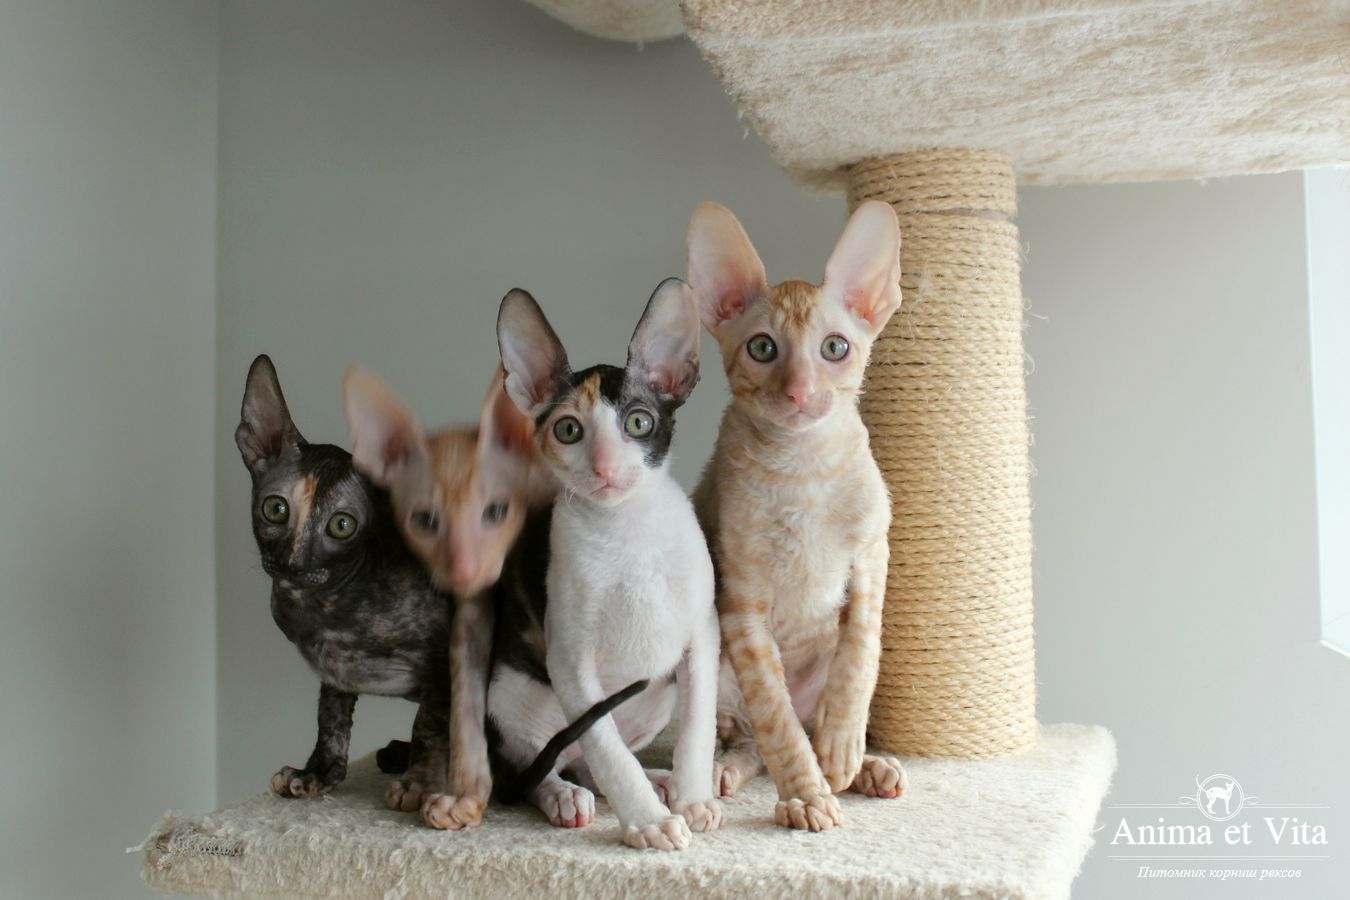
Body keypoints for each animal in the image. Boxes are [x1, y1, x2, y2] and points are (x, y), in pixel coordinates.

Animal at [235, 353, 451, 811]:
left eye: (341, 525)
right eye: (275, 509)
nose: (293, 563)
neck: (328, 607)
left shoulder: (449, 651)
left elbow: (430, 721)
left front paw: (420, 782)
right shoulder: (333, 667)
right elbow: (330, 718)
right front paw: (317, 772)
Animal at [493, 279, 723, 851]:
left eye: (639, 422)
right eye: (568, 430)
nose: (604, 467)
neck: (628, 532)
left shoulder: (703, 634)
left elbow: (698, 727)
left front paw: (693, 798)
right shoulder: (571, 661)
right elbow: (609, 749)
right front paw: (649, 822)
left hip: (655, 697)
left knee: (590, 761)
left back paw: (661, 781)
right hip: (511, 693)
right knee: (541, 764)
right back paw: (563, 797)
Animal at [686, 201, 908, 832]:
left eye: (835, 348)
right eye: (763, 349)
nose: (802, 392)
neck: (803, 471)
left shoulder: (872, 559)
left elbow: (860, 658)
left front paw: (841, 752)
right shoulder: (741, 604)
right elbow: (776, 720)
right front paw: (808, 794)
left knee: (812, 716)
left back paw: (866, 765)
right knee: (750, 739)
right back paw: (722, 772)